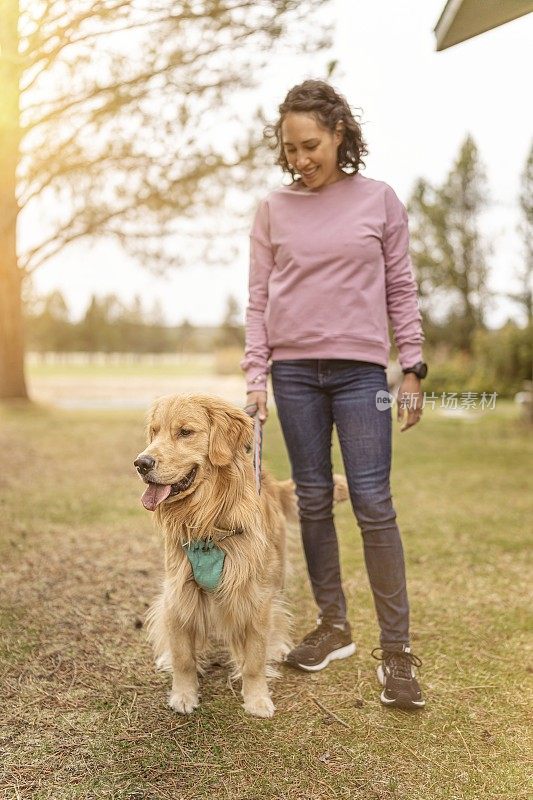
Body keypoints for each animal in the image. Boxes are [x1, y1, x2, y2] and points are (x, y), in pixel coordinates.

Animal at [135, 394, 348, 720]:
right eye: (154, 432)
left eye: (185, 432)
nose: (141, 463)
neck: (207, 521)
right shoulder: (179, 593)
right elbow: (183, 656)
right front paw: (183, 694)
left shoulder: (254, 599)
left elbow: (254, 660)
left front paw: (256, 698)